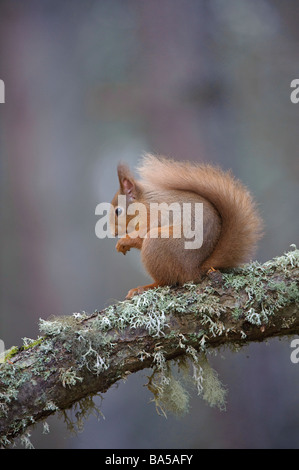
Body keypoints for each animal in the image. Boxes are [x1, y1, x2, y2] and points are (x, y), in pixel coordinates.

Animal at [109, 156, 262, 300]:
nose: (113, 232)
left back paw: (144, 287)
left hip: (156, 243)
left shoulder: (154, 215)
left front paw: (123, 242)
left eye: (118, 211)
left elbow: (141, 235)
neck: (144, 201)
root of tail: (194, 270)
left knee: (167, 281)